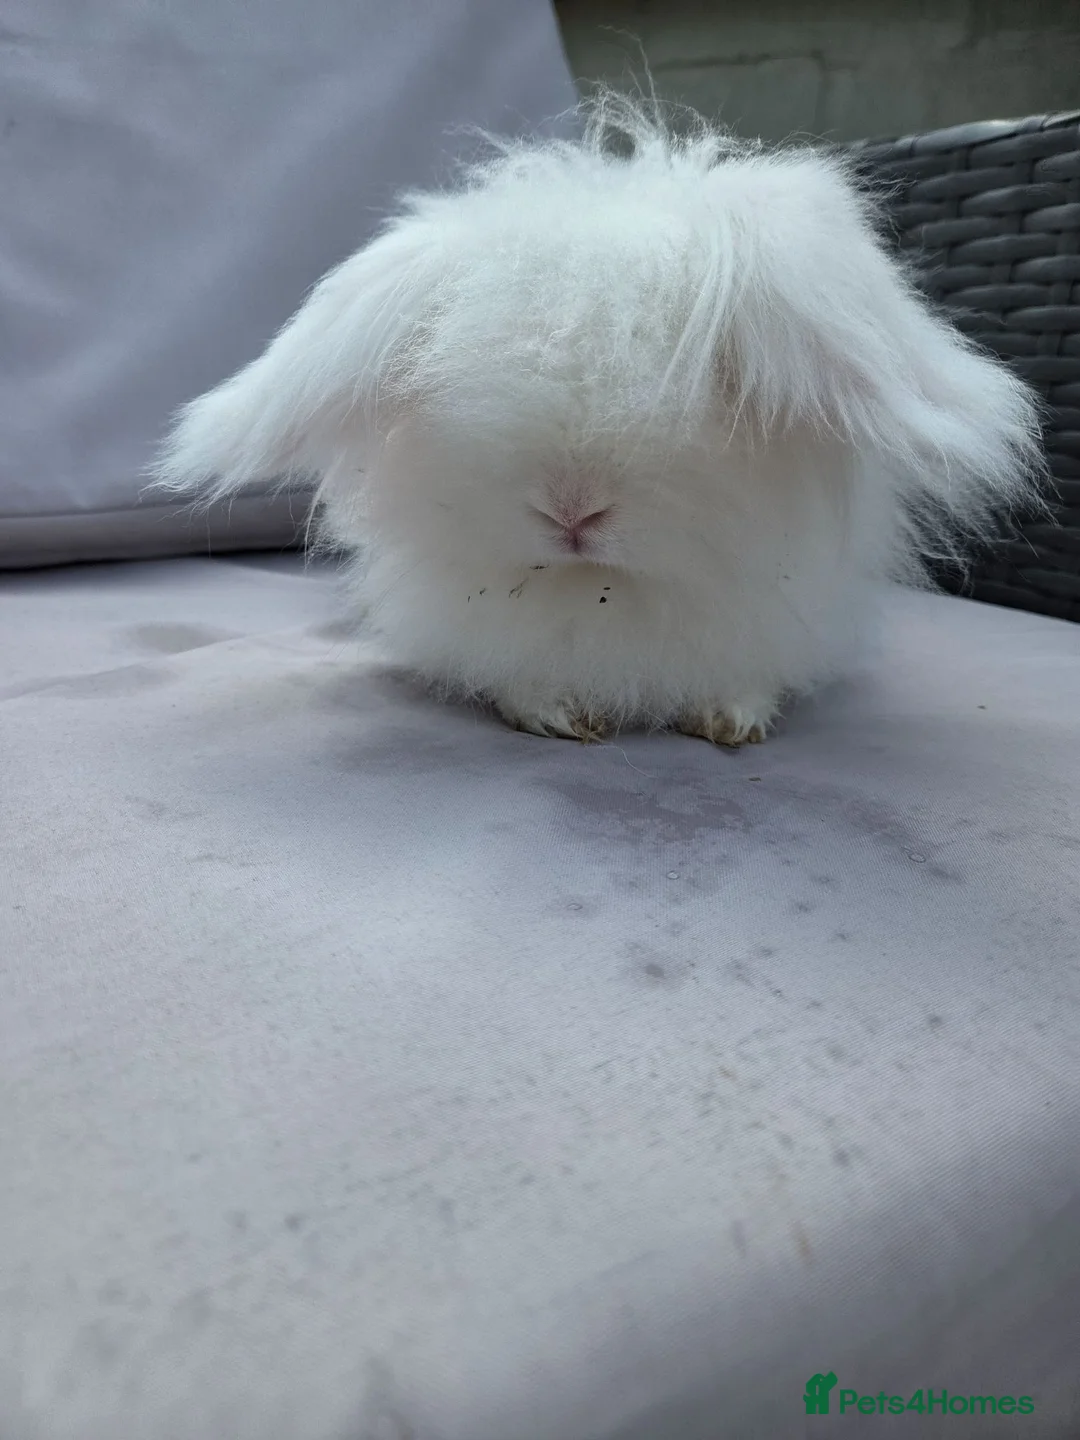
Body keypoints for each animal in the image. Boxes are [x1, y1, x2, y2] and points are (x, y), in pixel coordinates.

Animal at [154, 96, 1043, 745]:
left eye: (714, 381)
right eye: (452, 370)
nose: (572, 513)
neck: (607, 593)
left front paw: (731, 723)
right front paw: (557, 717)